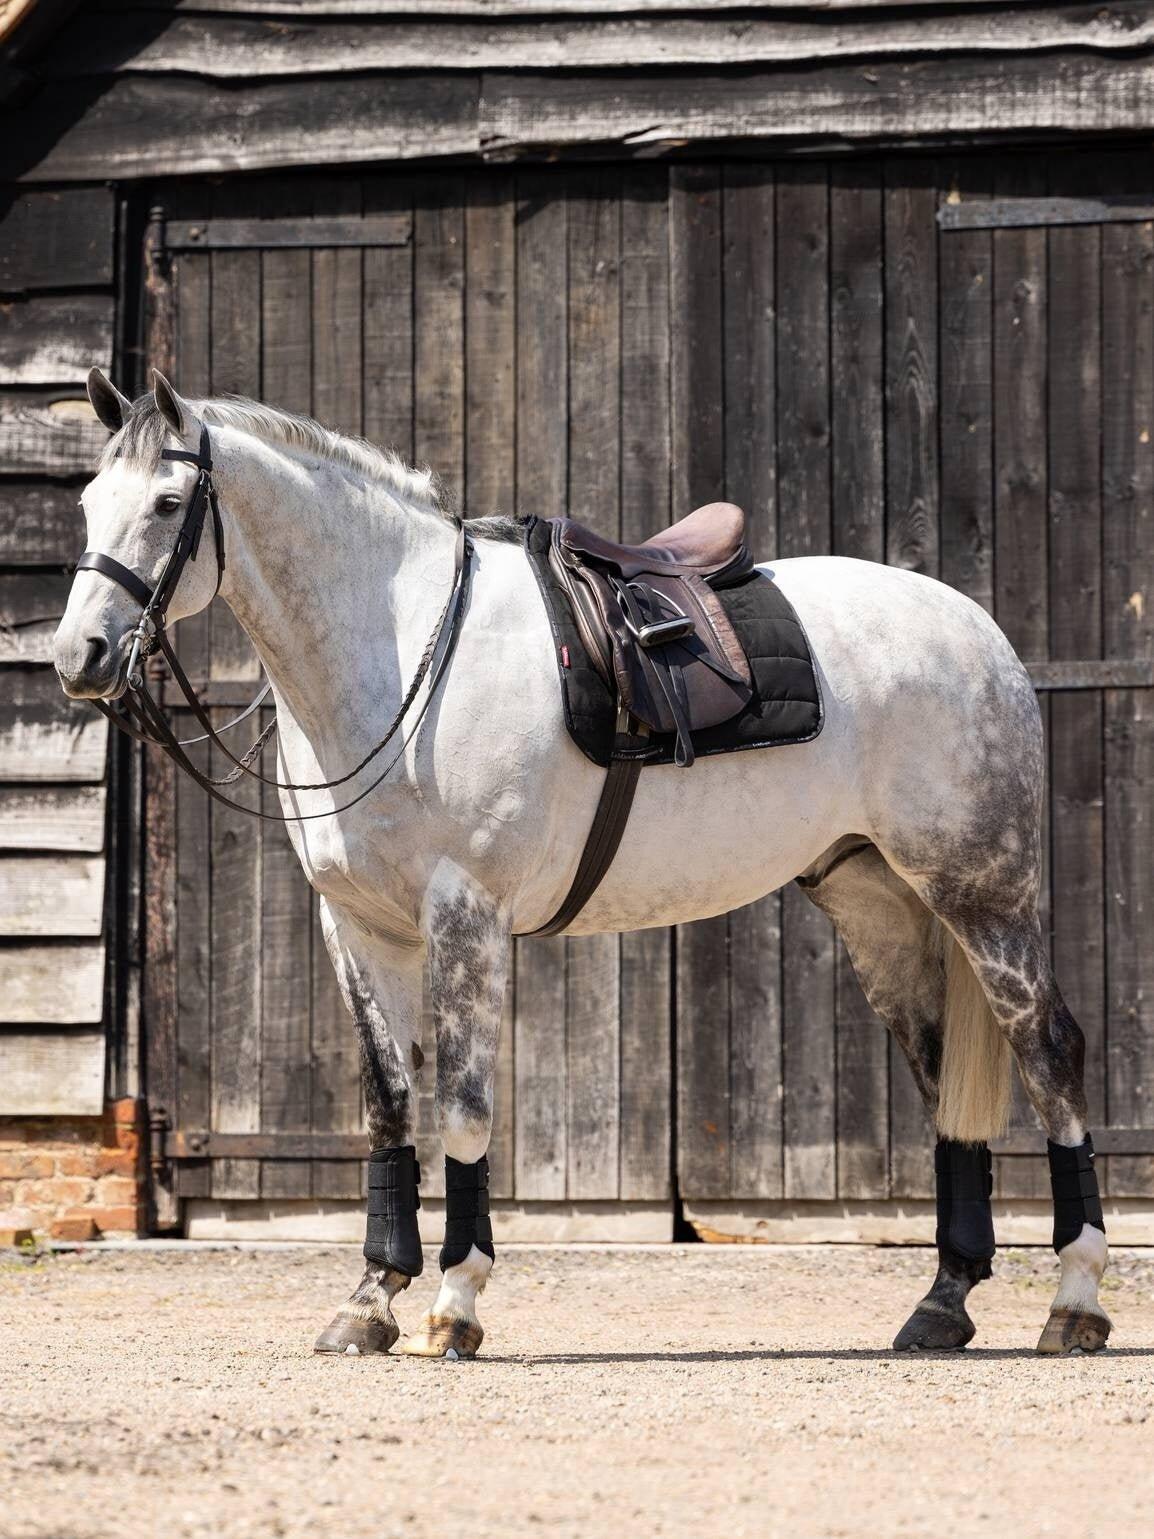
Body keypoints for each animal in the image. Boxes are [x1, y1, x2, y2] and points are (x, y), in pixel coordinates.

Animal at [54, 367, 1111, 1360]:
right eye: (87, 502)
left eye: (166, 503)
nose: (81, 657)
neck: (403, 651)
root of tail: (974, 630)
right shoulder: (355, 926)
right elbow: (390, 1109)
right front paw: (368, 1302)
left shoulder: (465, 915)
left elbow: (465, 1110)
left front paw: (455, 1305)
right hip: (878, 901)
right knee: (941, 1081)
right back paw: (942, 1303)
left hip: (984, 892)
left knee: (1051, 1051)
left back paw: (1075, 1302)